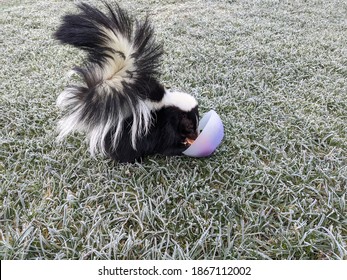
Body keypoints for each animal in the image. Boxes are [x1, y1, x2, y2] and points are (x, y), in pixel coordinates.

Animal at [55, 1, 200, 162]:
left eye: (197, 122)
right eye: (189, 126)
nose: (196, 135)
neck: (168, 105)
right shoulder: (163, 126)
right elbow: (167, 145)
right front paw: (183, 147)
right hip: (125, 132)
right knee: (125, 149)